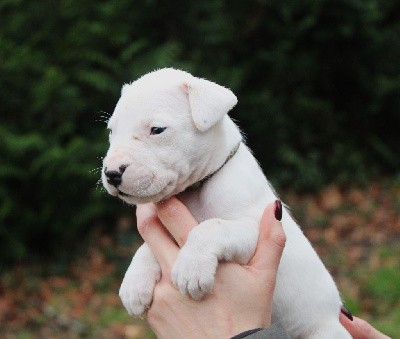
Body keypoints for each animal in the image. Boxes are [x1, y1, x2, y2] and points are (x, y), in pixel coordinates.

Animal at [102, 67, 350, 338]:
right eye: (111, 131)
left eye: (157, 130)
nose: (111, 173)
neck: (195, 191)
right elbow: (146, 247)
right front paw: (134, 283)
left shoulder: (255, 228)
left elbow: (211, 226)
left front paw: (191, 269)